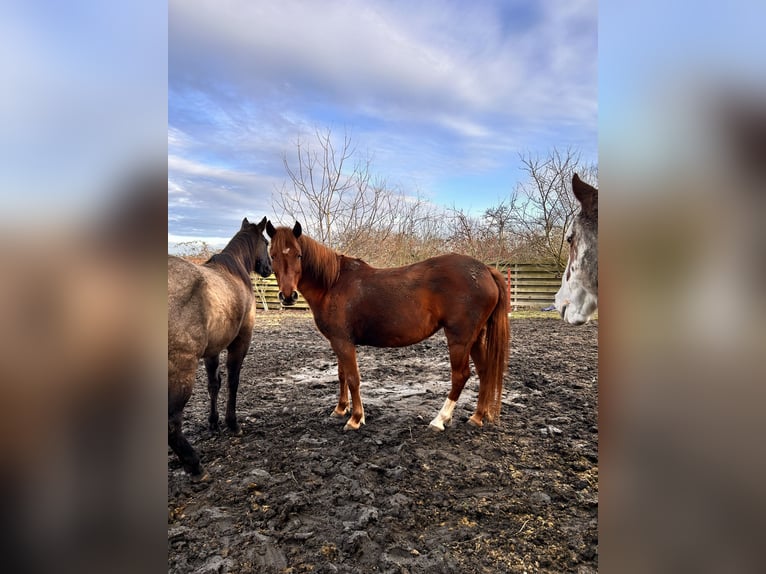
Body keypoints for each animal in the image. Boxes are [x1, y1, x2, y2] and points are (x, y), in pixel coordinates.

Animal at [168, 216, 272, 479]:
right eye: (266, 242)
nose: (269, 268)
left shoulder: (212, 350)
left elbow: (214, 384)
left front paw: (213, 422)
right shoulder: (241, 341)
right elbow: (233, 381)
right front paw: (232, 423)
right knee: (172, 420)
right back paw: (193, 464)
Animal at [265, 221, 510, 432]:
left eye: (298, 255)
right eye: (273, 255)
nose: (287, 296)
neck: (333, 284)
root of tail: (486, 270)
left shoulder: (343, 342)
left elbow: (353, 378)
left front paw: (355, 418)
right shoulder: (338, 342)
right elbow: (342, 375)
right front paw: (340, 409)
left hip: (460, 338)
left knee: (460, 376)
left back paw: (440, 419)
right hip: (475, 337)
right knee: (485, 371)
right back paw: (477, 417)